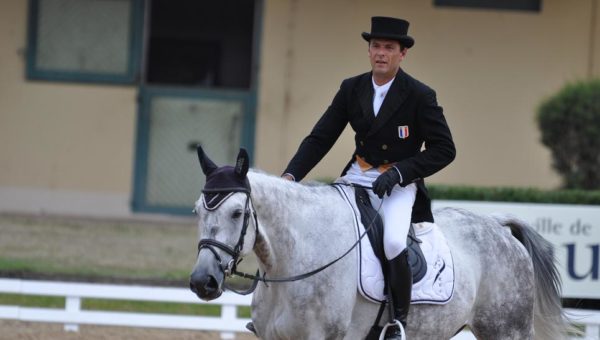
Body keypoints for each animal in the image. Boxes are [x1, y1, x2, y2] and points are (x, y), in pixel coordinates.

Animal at [190, 147, 568, 338]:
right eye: (197, 211)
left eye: (238, 212)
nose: (202, 282)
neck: (294, 259)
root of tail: (498, 226)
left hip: (506, 330)